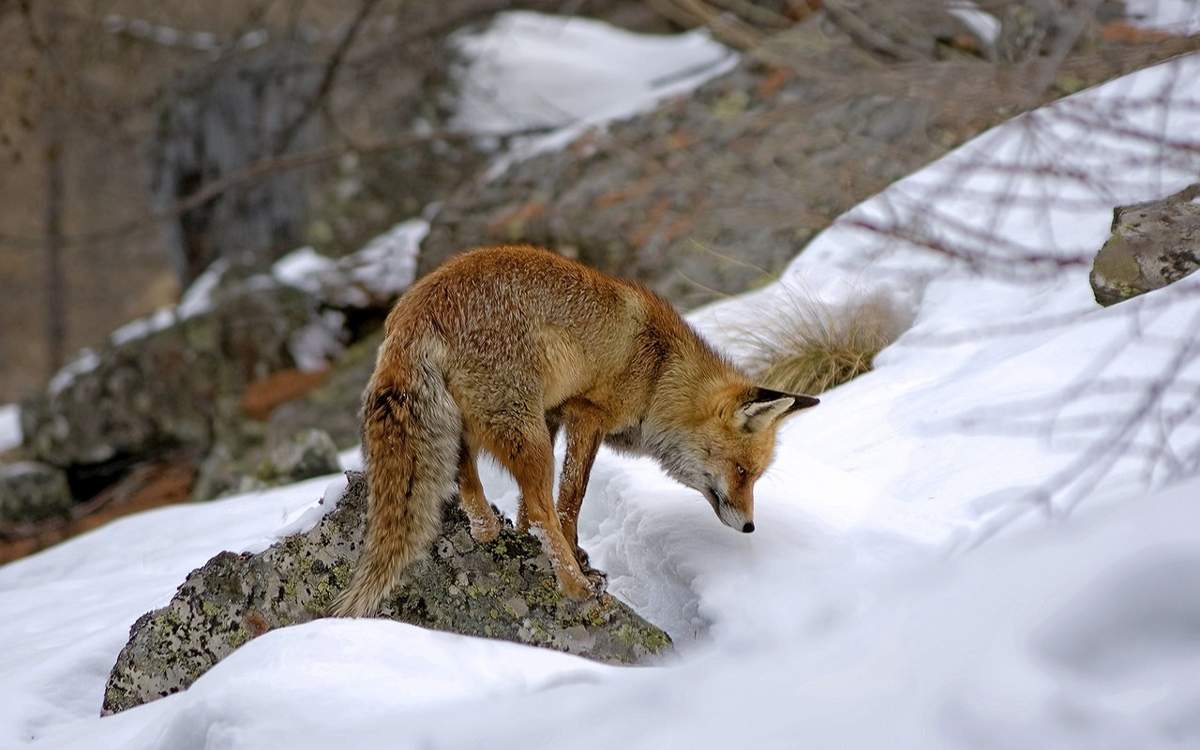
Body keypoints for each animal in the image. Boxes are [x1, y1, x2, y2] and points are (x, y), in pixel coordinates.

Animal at [336, 246, 816, 614]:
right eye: (742, 472)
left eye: (753, 476)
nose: (751, 527)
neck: (660, 373)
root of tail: (414, 310)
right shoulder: (586, 414)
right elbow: (570, 500)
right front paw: (577, 562)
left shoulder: (552, 415)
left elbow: (533, 511)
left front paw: (523, 537)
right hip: (524, 433)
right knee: (541, 504)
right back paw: (575, 587)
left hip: (488, 423)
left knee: (469, 475)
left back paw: (487, 527)